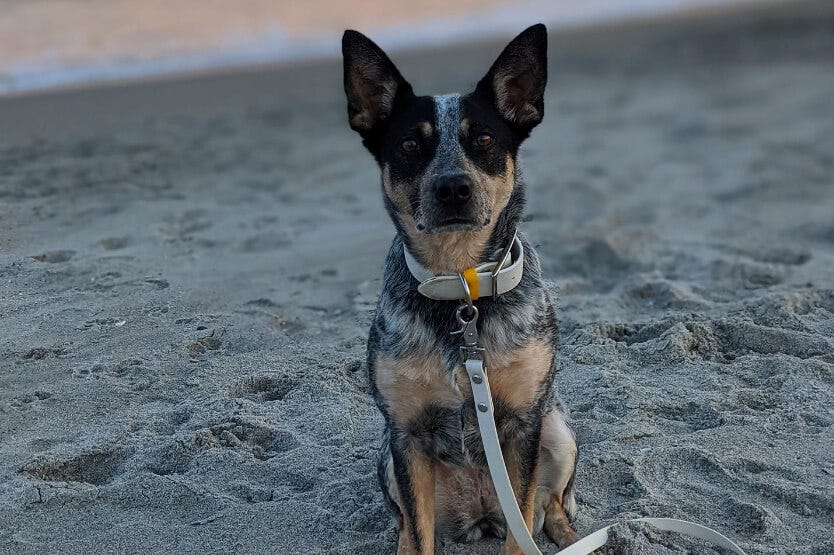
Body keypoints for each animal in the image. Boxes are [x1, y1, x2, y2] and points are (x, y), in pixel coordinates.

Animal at [342, 23, 580, 552]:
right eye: (410, 145)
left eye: (485, 139)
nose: (452, 187)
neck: (461, 288)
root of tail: (479, 514)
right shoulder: (405, 435)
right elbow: (419, 529)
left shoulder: (524, 425)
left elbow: (521, 528)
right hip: (386, 459)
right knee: (406, 523)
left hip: (558, 433)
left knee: (550, 505)